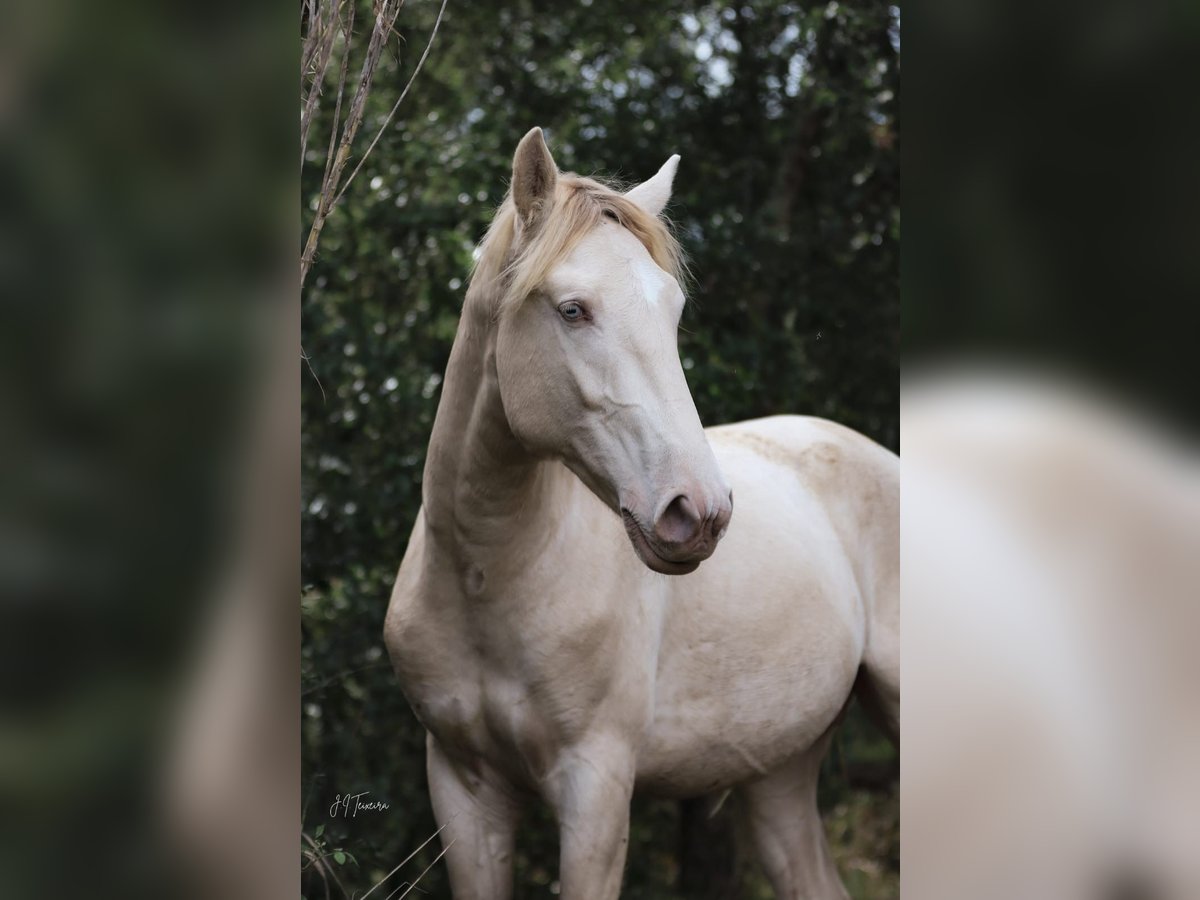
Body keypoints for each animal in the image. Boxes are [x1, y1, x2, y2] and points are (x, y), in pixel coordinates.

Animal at [379, 128, 897, 900]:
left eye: (673, 311)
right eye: (571, 309)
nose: (699, 512)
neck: (487, 574)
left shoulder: (594, 790)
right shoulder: (463, 791)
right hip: (779, 775)